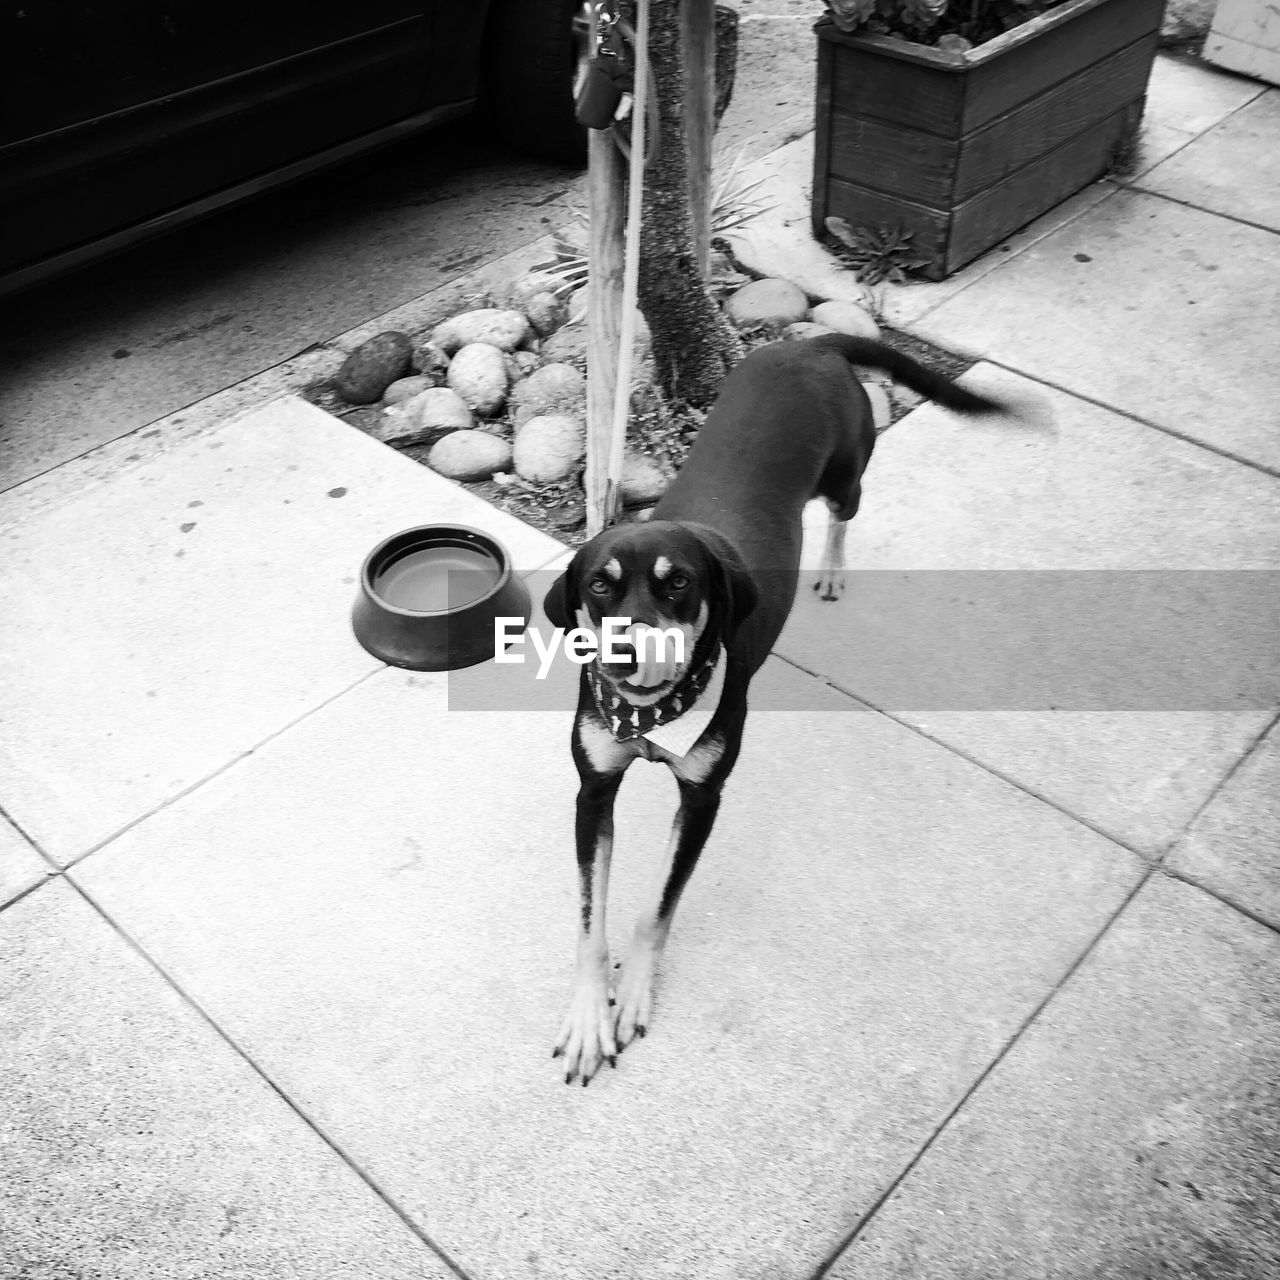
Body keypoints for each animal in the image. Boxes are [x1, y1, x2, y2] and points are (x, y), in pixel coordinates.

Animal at [540, 330, 998, 1080]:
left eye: (679, 584)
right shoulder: (594, 790)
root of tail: (813, 344)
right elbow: (588, 915)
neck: (655, 713)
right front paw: (586, 1015)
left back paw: (833, 569)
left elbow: (657, 906)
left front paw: (632, 994)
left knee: (844, 513)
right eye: (599, 587)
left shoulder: (703, 798)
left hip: (846, 471)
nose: (625, 656)